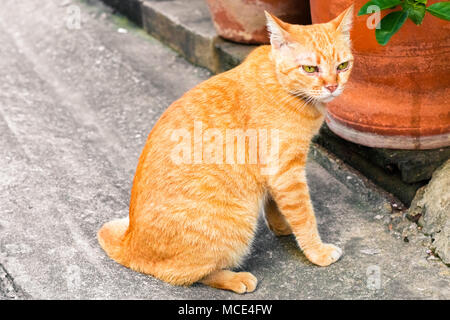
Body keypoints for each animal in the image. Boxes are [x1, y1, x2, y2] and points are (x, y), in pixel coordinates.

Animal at [98, 5, 356, 294]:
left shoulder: (276, 175)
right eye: (310, 68)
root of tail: (129, 243)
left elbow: (275, 204)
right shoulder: (286, 171)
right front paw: (316, 251)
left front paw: (282, 227)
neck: (281, 85)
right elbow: (305, 216)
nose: (332, 86)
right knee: (182, 274)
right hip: (236, 225)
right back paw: (236, 278)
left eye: (342, 66)